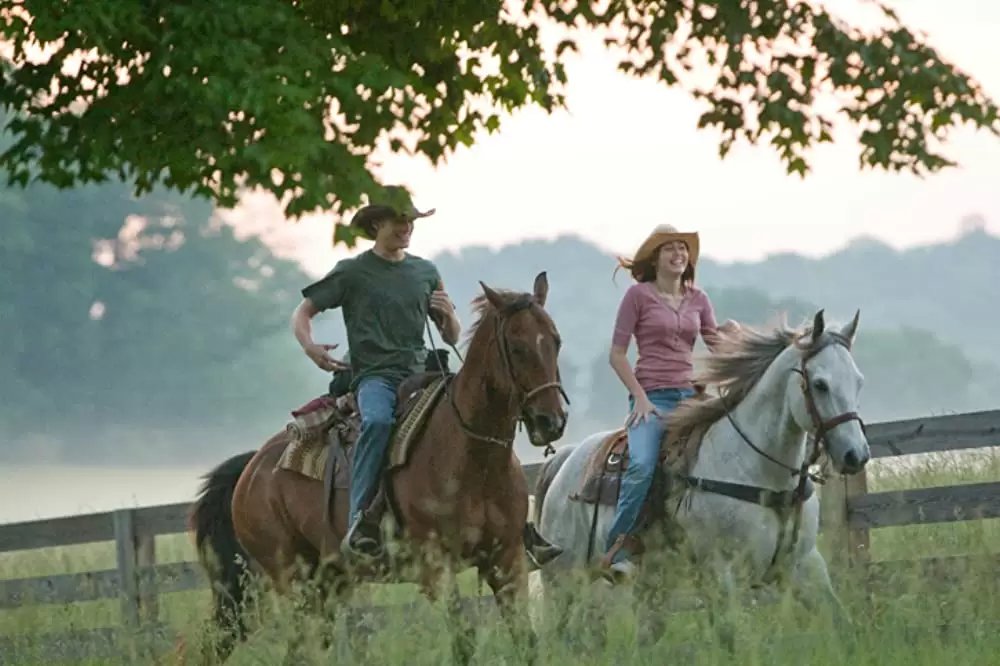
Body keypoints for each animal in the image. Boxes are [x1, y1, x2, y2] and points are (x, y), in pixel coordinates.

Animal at [186, 268, 564, 660]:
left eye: (555, 341)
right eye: (517, 348)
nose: (551, 421)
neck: (473, 458)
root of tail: (251, 467)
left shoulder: (507, 560)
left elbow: (526, 640)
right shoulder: (436, 569)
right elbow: (463, 642)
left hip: (329, 580)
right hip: (290, 577)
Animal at [536, 310, 872, 648]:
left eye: (859, 381)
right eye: (820, 384)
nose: (856, 455)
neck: (761, 476)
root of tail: (566, 460)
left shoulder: (806, 565)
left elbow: (842, 622)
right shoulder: (720, 572)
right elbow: (732, 637)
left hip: (650, 582)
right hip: (563, 580)